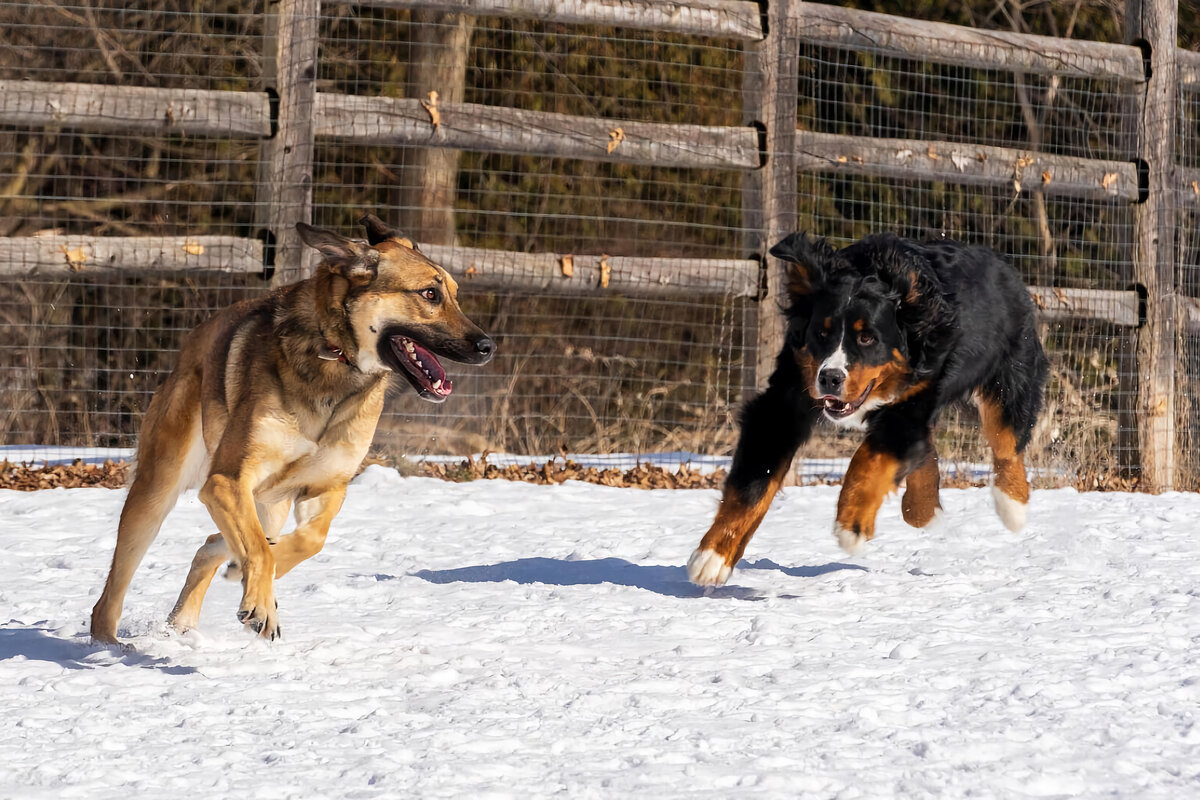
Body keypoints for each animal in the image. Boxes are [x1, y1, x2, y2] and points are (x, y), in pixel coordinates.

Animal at [87, 214, 492, 642]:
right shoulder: (226, 481)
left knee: (215, 545)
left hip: (267, 506)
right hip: (160, 490)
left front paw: (258, 579)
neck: (337, 359)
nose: (488, 346)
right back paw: (109, 645)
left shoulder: (326, 486)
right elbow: (261, 552)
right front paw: (262, 604)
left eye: (454, 294)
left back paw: (190, 615)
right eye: (430, 294)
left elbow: (309, 540)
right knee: (113, 591)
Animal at [691, 232, 1046, 587]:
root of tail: (1004, 266)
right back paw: (923, 509)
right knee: (927, 448)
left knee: (1006, 441)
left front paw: (852, 523)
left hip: (1009, 375)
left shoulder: (912, 400)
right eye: (821, 333)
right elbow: (753, 482)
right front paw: (713, 556)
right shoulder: (786, 399)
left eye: (867, 338)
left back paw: (1012, 506)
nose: (830, 377)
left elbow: (870, 458)